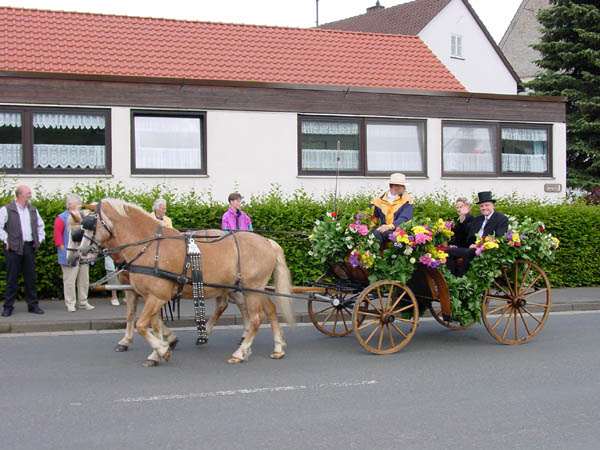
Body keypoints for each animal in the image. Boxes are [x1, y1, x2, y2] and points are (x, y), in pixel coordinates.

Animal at [75, 199, 296, 368]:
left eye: (90, 223)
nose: (79, 254)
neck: (149, 247)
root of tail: (267, 242)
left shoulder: (156, 296)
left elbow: (141, 324)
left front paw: (162, 349)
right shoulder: (151, 296)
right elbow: (152, 324)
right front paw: (158, 351)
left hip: (252, 289)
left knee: (257, 318)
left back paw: (240, 352)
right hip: (253, 289)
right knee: (270, 310)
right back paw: (277, 347)